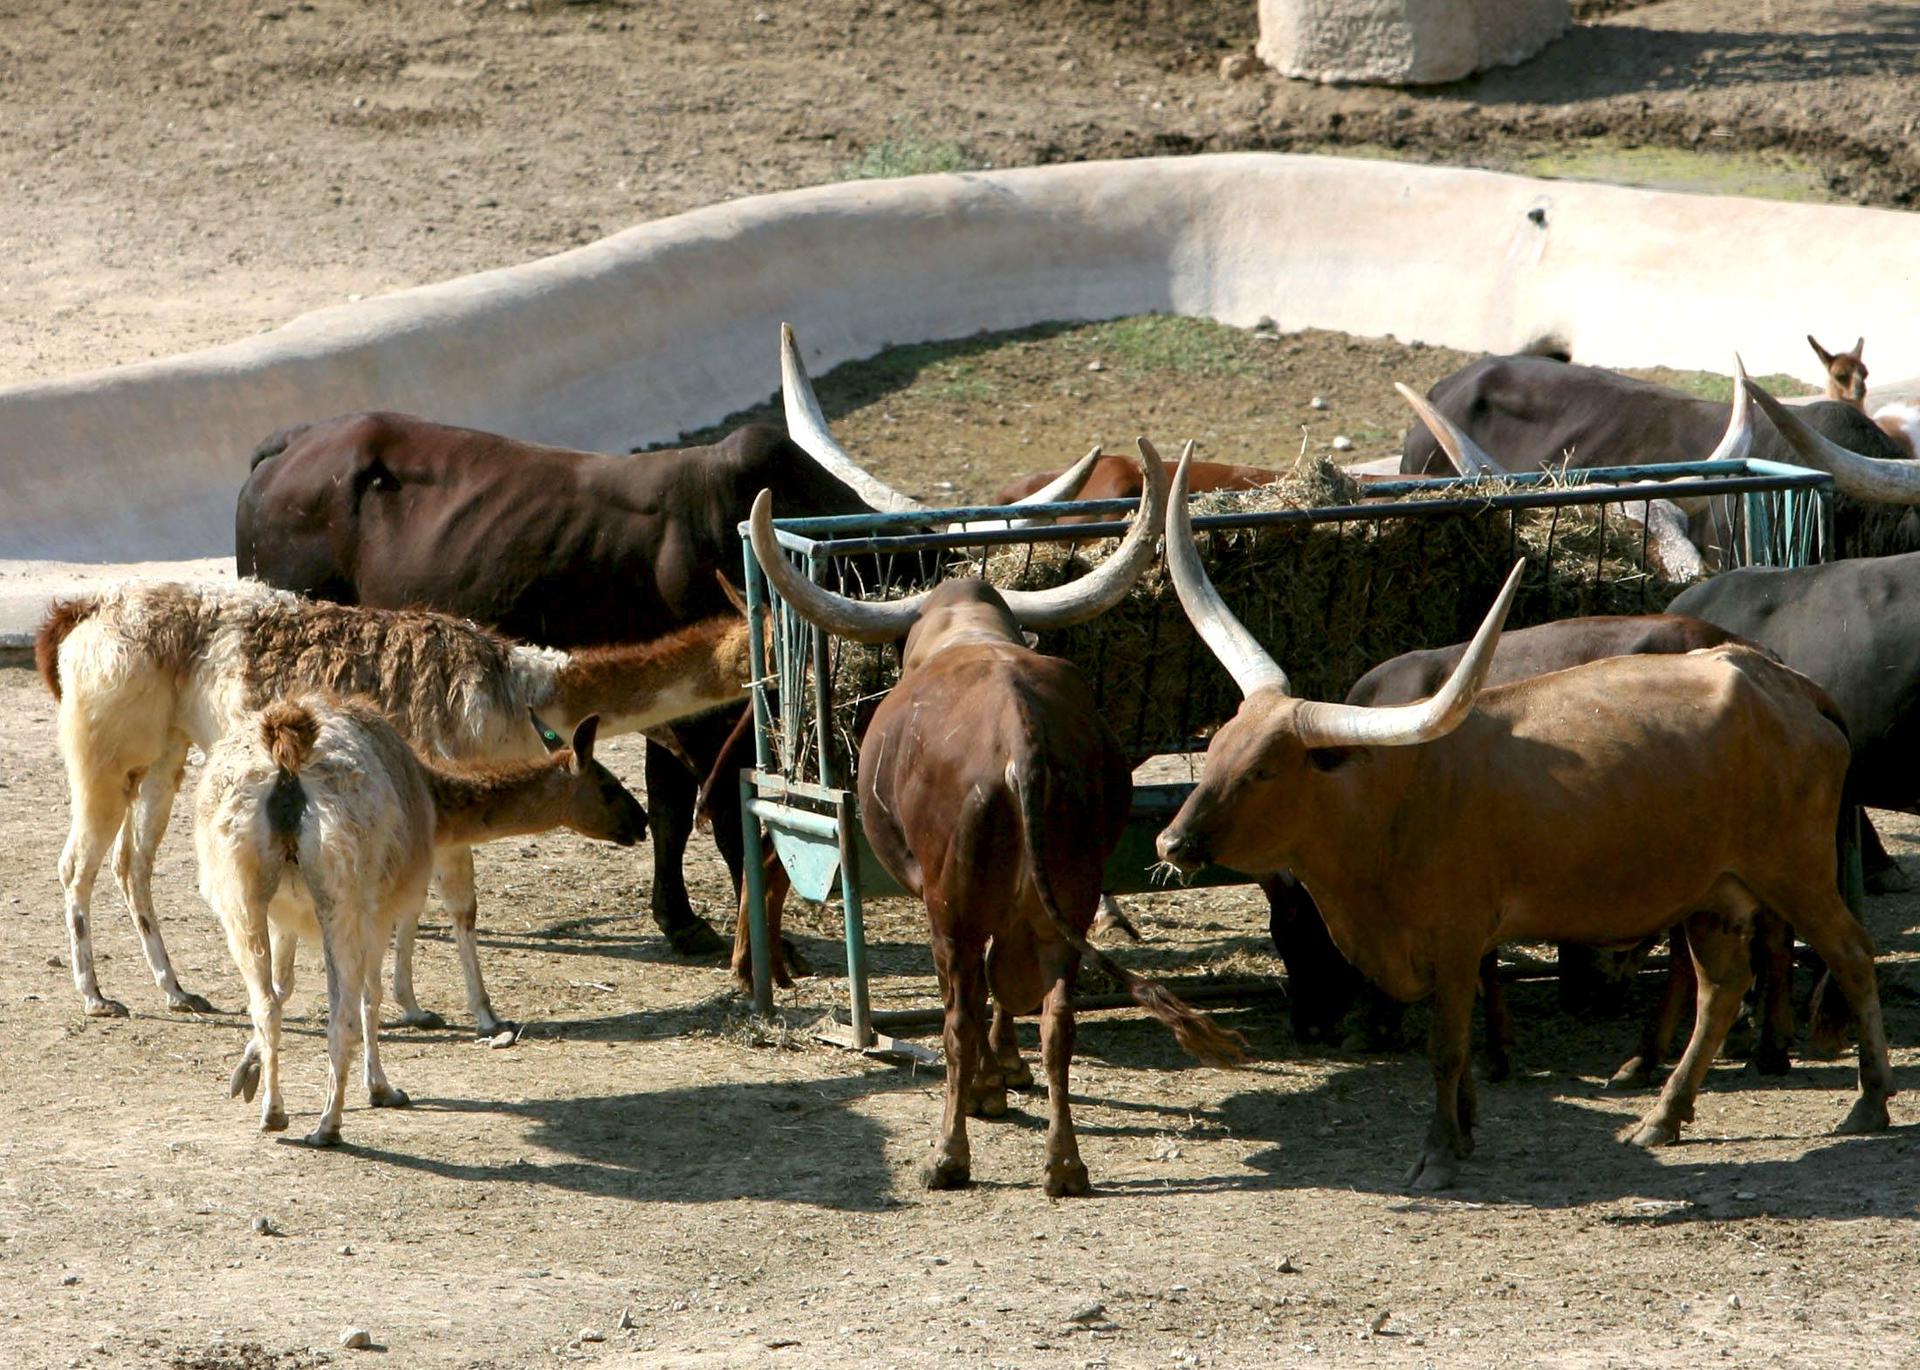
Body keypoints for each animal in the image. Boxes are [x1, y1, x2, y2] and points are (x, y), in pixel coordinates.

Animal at [234, 326, 1090, 958]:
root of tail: (289, 444)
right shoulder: (716, 719)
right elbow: (727, 821)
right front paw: (765, 948)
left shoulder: (676, 710)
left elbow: (675, 812)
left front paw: (681, 921)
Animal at [748, 442, 1244, 1196]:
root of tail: (1020, 740)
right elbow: (1010, 990)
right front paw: (1005, 1073)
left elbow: (974, 995)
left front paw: (986, 1087)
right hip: (1067, 892)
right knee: (1058, 1019)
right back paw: (1064, 1163)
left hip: (952, 904)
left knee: (958, 1011)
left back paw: (950, 1155)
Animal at [1152, 444, 1893, 1189]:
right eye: (1217, 749)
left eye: (1263, 770)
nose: (1171, 842)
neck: (1386, 803)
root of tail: (1786, 682)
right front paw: (1467, 1128)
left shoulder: (1455, 943)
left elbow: (1446, 1048)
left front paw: (1438, 1154)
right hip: (1714, 893)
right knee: (1719, 990)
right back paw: (1664, 1114)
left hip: (1796, 871)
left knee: (1852, 955)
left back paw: (1870, 1103)